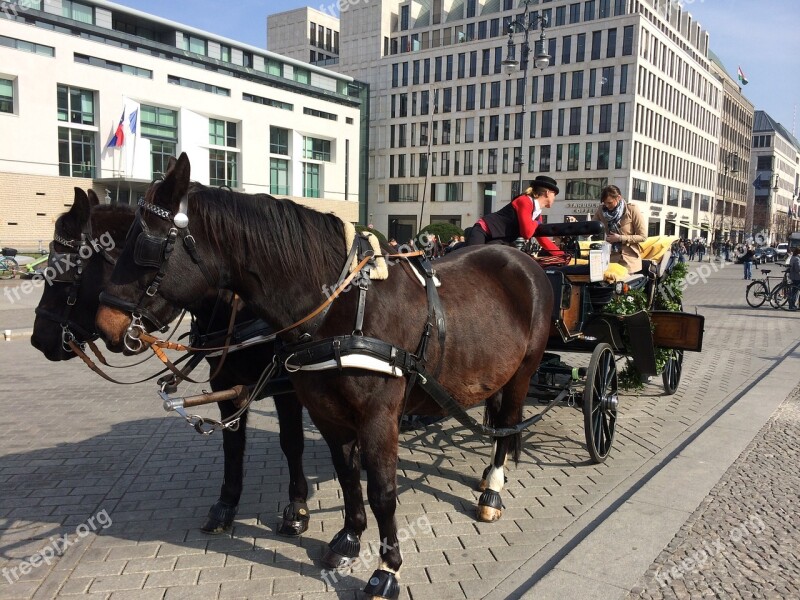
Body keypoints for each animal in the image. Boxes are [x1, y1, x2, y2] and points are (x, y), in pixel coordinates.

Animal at [29, 186, 310, 536]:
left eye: (62, 272)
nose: (38, 339)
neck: (239, 308)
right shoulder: (226, 384)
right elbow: (232, 443)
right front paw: (226, 504)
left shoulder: (288, 386)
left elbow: (291, 442)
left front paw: (297, 507)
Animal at [97, 152, 552, 596]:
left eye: (145, 245)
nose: (106, 325)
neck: (341, 307)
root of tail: (521, 258)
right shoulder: (324, 409)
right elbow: (346, 474)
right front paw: (348, 537)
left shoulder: (377, 416)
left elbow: (382, 492)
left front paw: (387, 569)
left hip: (523, 372)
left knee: (508, 425)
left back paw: (493, 489)